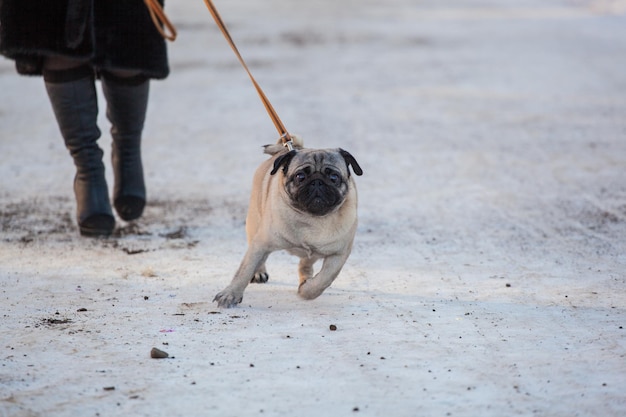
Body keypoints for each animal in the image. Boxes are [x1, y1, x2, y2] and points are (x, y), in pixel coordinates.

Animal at [213, 135, 360, 308]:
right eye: (300, 176)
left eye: (334, 177)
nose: (317, 182)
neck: (311, 219)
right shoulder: (262, 243)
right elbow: (245, 270)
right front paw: (230, 294)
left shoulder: (339, 254)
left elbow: (324, 279)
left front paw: (307, 291)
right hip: (254, 225)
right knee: (257, 255)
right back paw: (259, 272)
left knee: (305, 264)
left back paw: (305, 279)